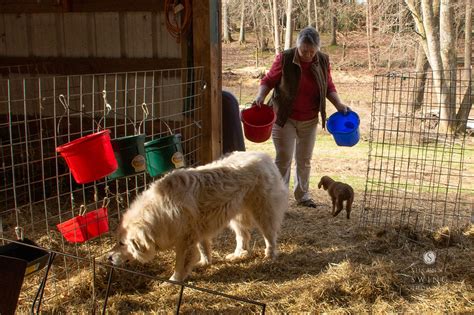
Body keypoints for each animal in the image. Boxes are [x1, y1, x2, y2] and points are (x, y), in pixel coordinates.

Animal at [107, 152, 286, 282]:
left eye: (122, 243)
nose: (108, 258)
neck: (160, 210)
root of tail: (264, 157)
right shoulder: (197, 230)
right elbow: (204, 248)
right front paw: (205, 263)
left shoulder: (185, 240)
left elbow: (180, 264)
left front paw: (173, 280)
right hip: (236, 215)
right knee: (243, 236)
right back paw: (237, 254)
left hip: (263, 212)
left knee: (270, 235)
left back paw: (270, 255)